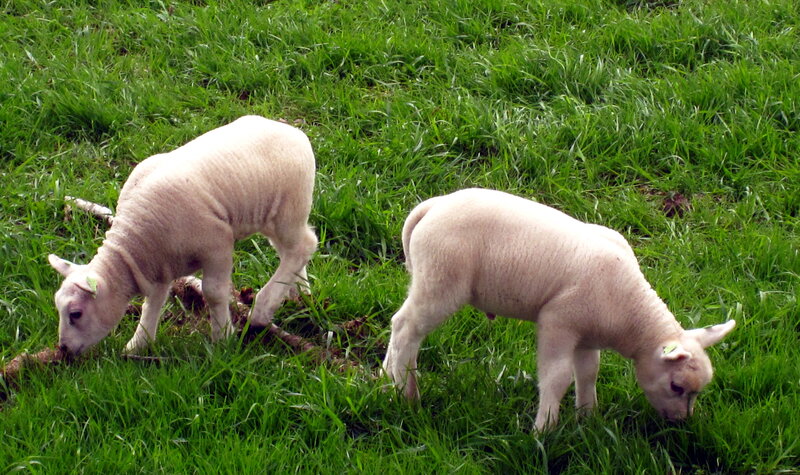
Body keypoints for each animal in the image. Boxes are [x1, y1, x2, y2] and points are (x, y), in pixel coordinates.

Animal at [48, 115, 318, 356]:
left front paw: (223, 338)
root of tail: (292, 131)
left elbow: (214, 293)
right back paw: (299, 293)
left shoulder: (216, 244)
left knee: (304, 246)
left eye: (75, 314)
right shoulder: (159, 265)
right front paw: (138, 344)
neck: (134, 239)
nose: (63, 349)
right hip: (270, 215)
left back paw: (262, 310)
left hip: (288, 208)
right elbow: (153, 302)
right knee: (291, 251)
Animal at [382, 188, 736, 431]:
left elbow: (588, 372)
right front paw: (544, 430)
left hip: (428, 278)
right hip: (442, 281)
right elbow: (557, 377)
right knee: (405, 327)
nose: (682, 422)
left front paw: (588, 418)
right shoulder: (558, 322)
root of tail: (432, 206)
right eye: (677, 386)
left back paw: (392, 380)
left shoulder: (587, 335)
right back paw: (404, 392)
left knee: (406, 331)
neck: (629, 310)